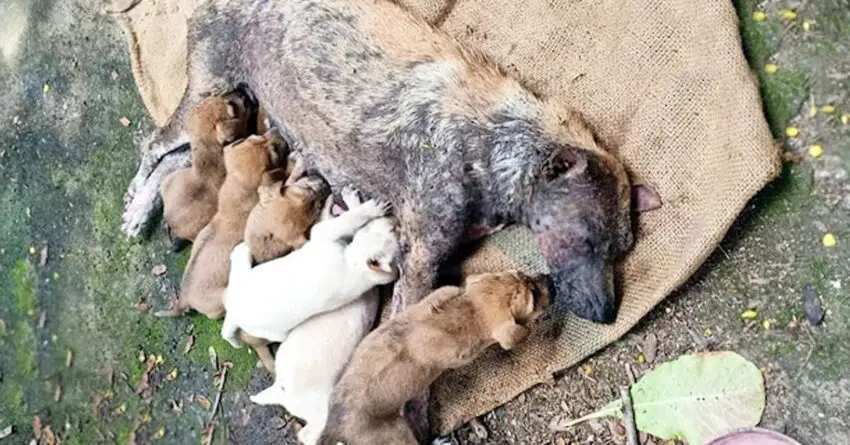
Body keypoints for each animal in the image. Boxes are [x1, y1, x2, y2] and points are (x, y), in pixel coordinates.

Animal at [222, 186, 400, 346]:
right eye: (392, 229)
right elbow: (348, 220)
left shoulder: (324, 234)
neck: (356, 264)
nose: (396, 221)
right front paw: (354, 202)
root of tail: (232, 310)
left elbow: (346, 220)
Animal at [318, 270, 548, 444]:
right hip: (397, 434)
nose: (549, 278)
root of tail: (333, 426)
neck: (469, 311)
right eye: (534, 297)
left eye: (524, 275)